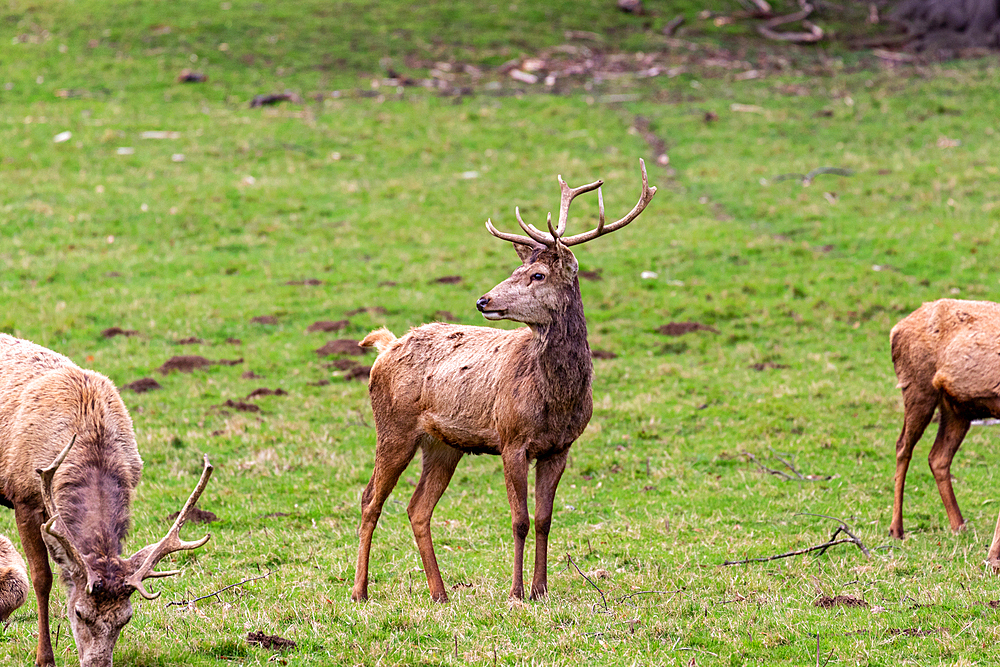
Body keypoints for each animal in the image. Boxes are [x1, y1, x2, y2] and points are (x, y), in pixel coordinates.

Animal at [0, 336, 211, 667]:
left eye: (126, 618)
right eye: (79, 612)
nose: (97, 664)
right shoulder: (23, 495)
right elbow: (42, 578)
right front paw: (44, 658)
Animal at [352, 159, 656, 604]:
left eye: (538, 274)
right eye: (516, 270)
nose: (483, 300)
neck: (557, 399)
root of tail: (386, 345)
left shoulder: (560, 446)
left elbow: (545, 519)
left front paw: (541, 589)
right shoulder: (511, 439)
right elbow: (520, 520)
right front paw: (515, 592)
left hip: (444, 444)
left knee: (417, 507)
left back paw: (440, 593)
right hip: (393, 426)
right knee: (370, 498)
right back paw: (359, 591)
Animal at [892, 302, 1000, 568]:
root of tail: (896, 328)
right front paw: (993, 559)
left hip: (957, 409)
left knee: (938, 457)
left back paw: (959, 526)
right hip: (917, 387)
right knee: (903, 447)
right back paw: (896, 529)